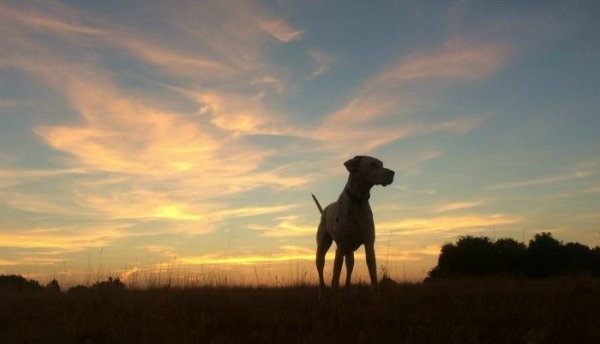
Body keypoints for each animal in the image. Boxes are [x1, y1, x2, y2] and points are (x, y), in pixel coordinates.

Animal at [314, 155, 394, 296]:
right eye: (373, 164)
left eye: (381, 164)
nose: (392, 173)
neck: (357, 201)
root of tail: (324, 211)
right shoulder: (340, 249)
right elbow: (335, 280)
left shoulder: (369, 246)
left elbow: (374, 279)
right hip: (322, 251)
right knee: (321, 276)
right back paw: (322, 295)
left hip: (350, 255)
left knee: (348, 276)